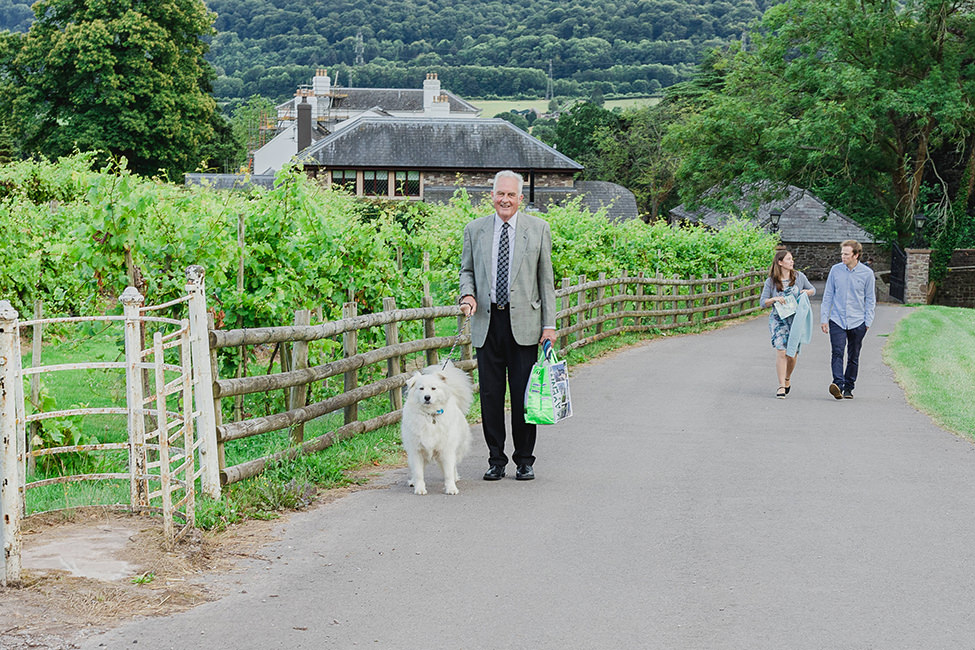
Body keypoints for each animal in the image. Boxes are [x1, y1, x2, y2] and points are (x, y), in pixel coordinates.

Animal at [402, 362, 474, 494]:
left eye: (433, 388)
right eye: (421, 388)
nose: (427, 397)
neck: (430, 416)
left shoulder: (447, 450)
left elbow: (448, 472)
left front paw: (451, 488)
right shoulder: (416, 451)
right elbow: (418, 473)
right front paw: (419, 488)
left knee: (453, 466)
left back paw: (455, 478)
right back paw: (413, 481)